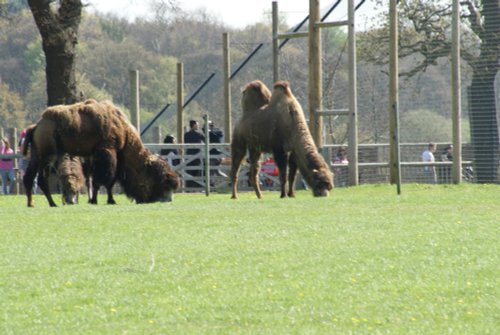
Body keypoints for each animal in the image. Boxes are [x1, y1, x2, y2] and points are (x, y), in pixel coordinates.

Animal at [23, 99, 181, 207]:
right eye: (163, 182)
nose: (168, 199)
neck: (124, 131)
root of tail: (36, 126)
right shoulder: (107, 151)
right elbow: (105, 179)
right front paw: (101, 200)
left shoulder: (98, 156)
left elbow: (102, 180)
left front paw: (103, 200)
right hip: (49, 155)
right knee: (42, 178)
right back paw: (52, 203)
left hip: (36, 156)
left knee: (29, 177)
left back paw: (32, 203)